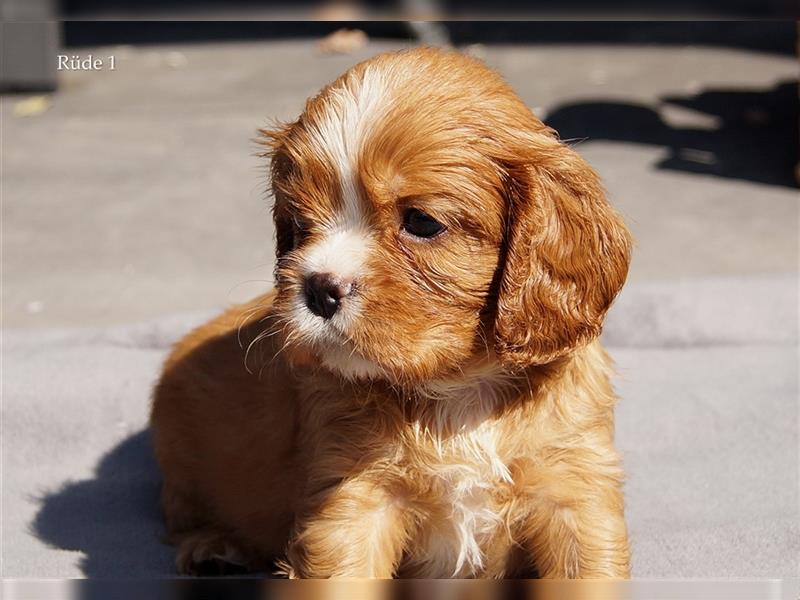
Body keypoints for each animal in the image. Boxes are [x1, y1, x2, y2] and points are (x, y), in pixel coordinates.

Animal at [152, 48, 632, 580]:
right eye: (300, 224)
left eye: (421, 222)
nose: (318, 288)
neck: (460, 390)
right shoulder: (352, 498)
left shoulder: (574, 488)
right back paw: (213, 549)